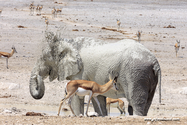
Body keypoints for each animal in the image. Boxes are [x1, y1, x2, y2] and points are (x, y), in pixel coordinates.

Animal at [29, 31, 161, 116]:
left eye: (43, 59)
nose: (38, 76)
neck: (69, 42)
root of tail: (155, 62)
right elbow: (99, 101)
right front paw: (100, 116)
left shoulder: (81, 72)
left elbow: (78, 98)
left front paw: (79, 115)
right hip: (147, 76)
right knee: (146, 102)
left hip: (136, 75)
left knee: (136, 102)